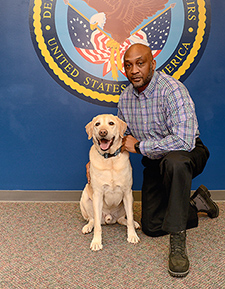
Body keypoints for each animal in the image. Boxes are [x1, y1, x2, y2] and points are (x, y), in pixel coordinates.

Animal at [80, 113, 140, 250]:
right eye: (97, 124)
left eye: (111, 123)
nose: (102, 132)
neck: (110, 159)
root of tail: (109, 218)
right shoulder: (97, 194)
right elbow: (97, 225)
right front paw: (96, 242)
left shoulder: (127, 192)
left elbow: (130, 218)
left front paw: (132, 235)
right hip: (85, 197)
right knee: (92, 219)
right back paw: (88, 227)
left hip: (128, 201)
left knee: (123, 219)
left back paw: (133, 223)